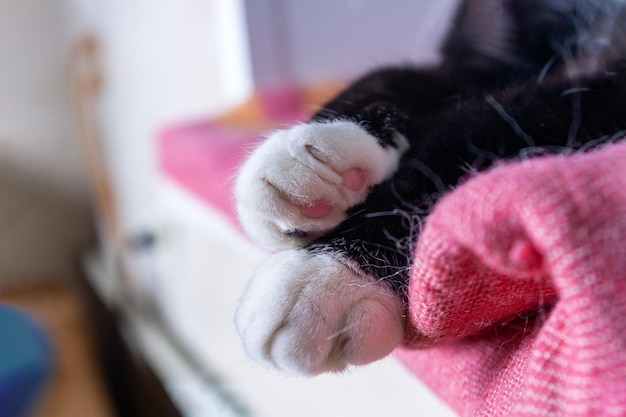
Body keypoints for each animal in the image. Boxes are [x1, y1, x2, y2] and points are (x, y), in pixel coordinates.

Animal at [233, 0, 624, 374]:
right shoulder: (480, 59)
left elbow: (474, 126)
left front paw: (325, 274)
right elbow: (395, 75)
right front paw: (303, 157)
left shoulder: (598, 99)